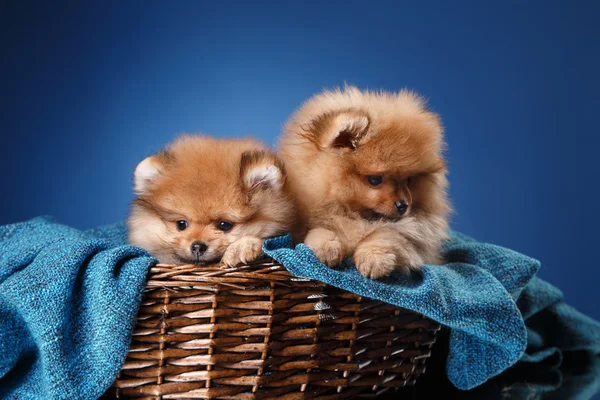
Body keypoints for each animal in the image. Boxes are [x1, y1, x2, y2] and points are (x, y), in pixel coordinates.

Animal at [280, 85, 450, 278]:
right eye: (375, 179)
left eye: (408, 180)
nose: (403, 205)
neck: (357, 215)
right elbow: (320, 229)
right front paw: (326, 248)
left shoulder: (411, 234)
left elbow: (386, 234)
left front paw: (374, 259)